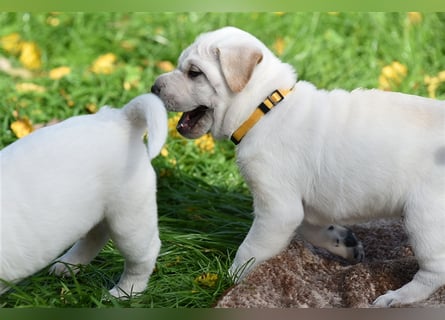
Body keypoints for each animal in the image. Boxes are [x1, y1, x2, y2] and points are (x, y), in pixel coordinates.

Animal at [0, 92, 166, 298]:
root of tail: (121, 120)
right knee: (95, 236)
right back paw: (69, 264)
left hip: (130, 221)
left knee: (143, 256)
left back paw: (124, 292)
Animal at [152, 26, 444, 306]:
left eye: (194, 73)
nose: (154, 86)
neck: (264, 109)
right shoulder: (300, 206)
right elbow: (310, 228)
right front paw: (343, 242)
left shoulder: (277, 210)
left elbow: (250, 251)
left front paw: (230, 280)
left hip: (424, 219)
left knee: (435, 271)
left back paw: (398, 297)